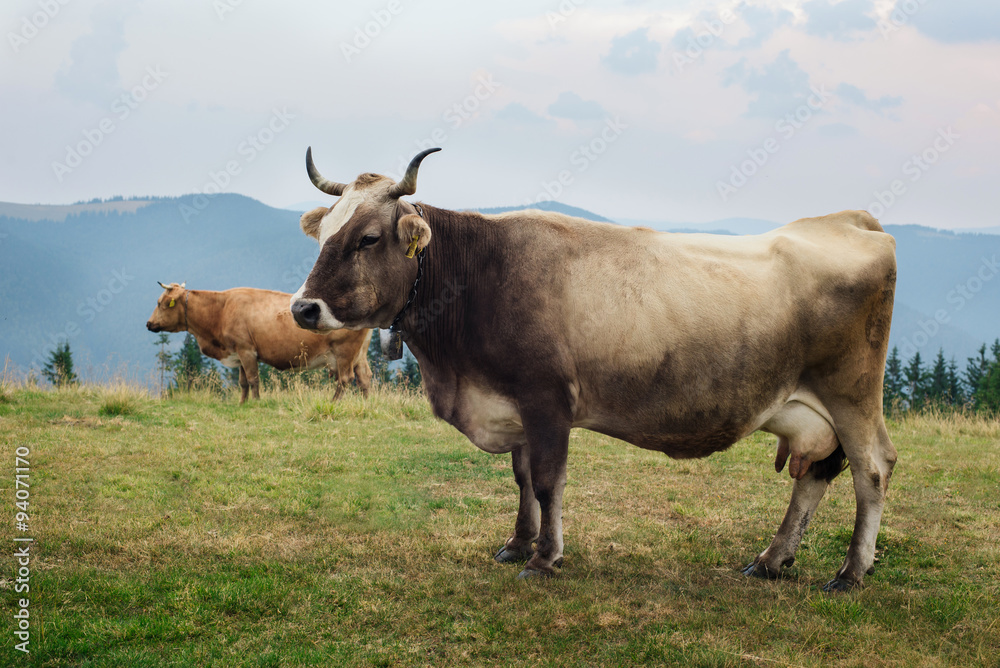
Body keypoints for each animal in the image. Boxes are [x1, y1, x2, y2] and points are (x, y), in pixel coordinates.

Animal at [150, 282, 376, 402]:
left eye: (161, 303)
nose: (149, 323)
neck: (221, 310)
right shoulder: (238, 353)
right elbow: (242, 382)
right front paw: (242, 403)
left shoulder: (247, 350)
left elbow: (253, 379)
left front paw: (256, 402)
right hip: (359, 354)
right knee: (364, 378)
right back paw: (366, 403)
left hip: (344, 352)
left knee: (345, 379)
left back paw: (334, 402)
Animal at [290, 147, 900, 588]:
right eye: (324, 235)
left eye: (368, 238)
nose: (302, 308)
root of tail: (849, 221)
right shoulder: (510, 401)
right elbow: (521, 478)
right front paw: (517, 544)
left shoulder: (546, 399)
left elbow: (546, 480)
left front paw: (545, 559)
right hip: (810, 410)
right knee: (815, 475)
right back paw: (773, 560)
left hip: (852, 394)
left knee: (872, 469)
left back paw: (851, 572)